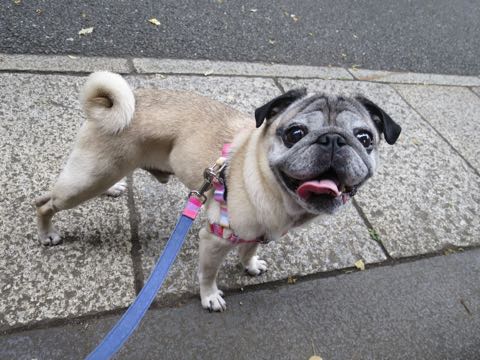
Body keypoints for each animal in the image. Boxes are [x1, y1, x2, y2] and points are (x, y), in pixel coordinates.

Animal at [34, 71, 402, 310]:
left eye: (365, 138)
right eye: (295, 133)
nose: (333, 140)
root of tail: (115, 104)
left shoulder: (255, 232)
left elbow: (249, 249)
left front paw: (250, 265)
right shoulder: (214, 239)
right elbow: (208, 273)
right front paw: (210, 296)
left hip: (104, 171)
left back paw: (114, 190)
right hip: (85, 181)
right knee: (44, 201)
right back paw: (47, 234)